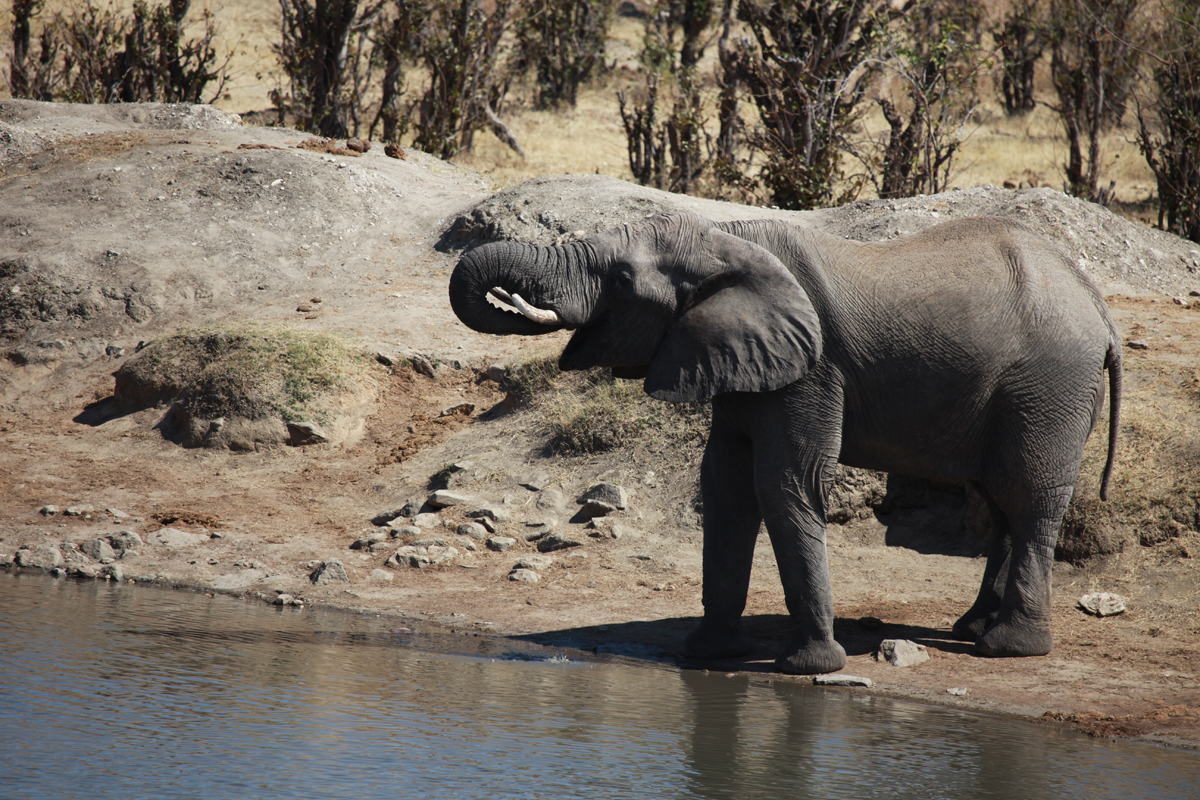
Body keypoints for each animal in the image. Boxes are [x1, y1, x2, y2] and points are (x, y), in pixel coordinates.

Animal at [446, 212, 1118, 676]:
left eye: (621, 277)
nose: (511, 298)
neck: (726, 241)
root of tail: (1098, 305)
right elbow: (724, 488)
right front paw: (708, 654)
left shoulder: (812, 370)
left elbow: (784, 485)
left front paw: (808, 666)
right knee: (998, 501)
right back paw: (972, 629)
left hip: (1049, 384)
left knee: (1027, 498)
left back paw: (1008, 649)